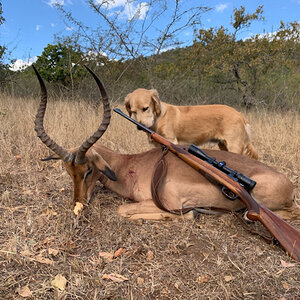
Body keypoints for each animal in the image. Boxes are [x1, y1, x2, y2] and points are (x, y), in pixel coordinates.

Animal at [124, 87, 258, 159]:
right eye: (133, 111)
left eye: (145, 108)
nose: (139, 127)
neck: (158, 118)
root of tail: (239, 114)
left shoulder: (171, 141)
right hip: (223, 145)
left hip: (234, 146)